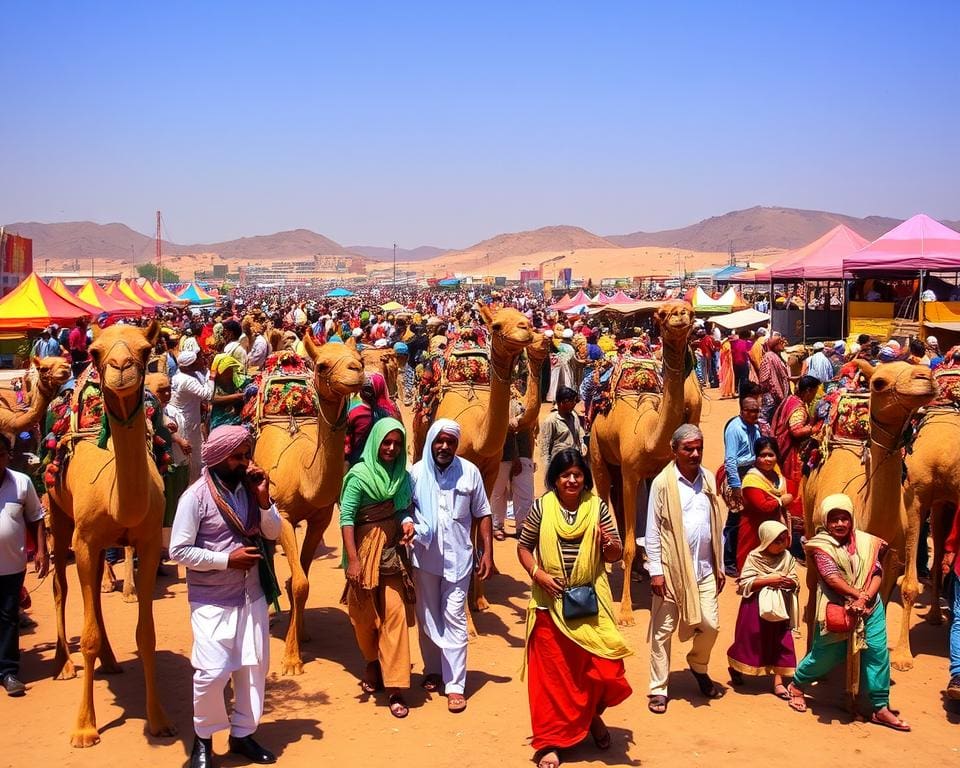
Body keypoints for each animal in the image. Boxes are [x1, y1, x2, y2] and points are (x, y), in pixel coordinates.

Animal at [47, 320, 175, 748]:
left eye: (146, 348)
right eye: (95, 351)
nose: (121, 368)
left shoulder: (149, 543)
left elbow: (147, 635)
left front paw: (159, 719)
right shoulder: (84, 541)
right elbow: (85, 634)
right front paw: (84, 727)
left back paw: (112, 661)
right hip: (58, 514)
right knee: (61, 586)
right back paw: (63, 664)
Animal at [251, 336, 364, 672]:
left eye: (358, 358)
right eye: (323, 365)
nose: (357, 371)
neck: (304, 473)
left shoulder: (320, 518)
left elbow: (301, 580)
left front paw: (301, 634)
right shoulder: (284, 517)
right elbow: (299, 583)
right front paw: (291, 659)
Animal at [588, 298, 692, 624]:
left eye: (689, 309)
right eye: (663, 312)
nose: (681, 315)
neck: (648, 435)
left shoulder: (652, 473)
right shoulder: (630, 473)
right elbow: (632, 544)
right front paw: (624, 612)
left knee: (621, 509)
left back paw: (634, 569)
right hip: (599, 456)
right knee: (606, 495)